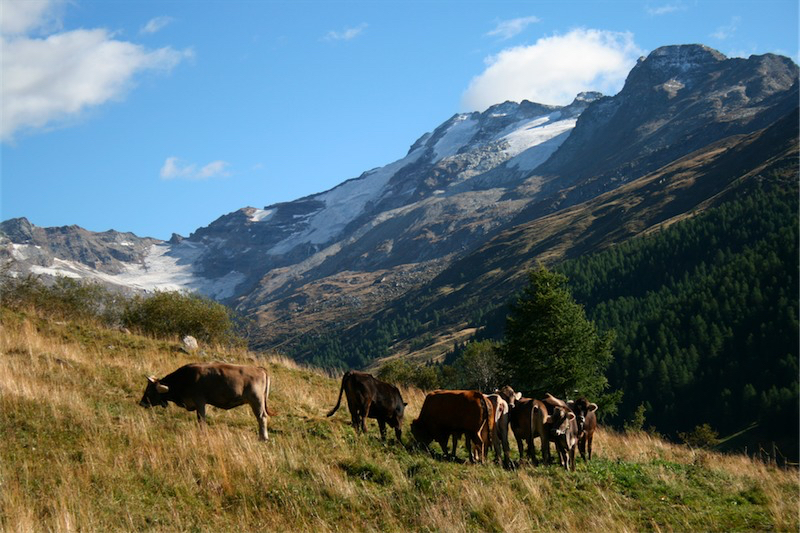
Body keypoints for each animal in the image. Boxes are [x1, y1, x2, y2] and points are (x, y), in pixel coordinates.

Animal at [138, 362, 276, 440]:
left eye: (149, 391)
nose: (141, 403)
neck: (184, 379)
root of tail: (259, 369)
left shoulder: (200, 401)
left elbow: (201, 419)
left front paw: (203, 434)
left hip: (256, 400)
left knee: (261, 417)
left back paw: (263, 438)